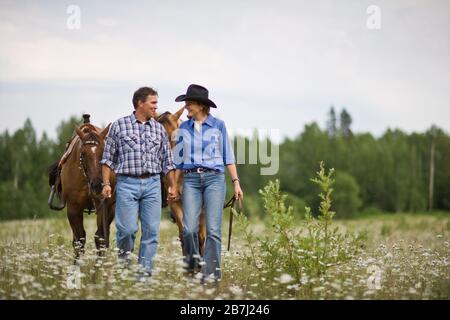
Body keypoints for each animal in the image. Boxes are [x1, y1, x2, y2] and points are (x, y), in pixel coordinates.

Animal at [49, 121, 115, 256]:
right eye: (83, 154)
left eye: (103, 151)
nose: (97, 185)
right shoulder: (73, 208)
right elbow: (79, 240)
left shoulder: (103, 206)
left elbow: (100, 237)